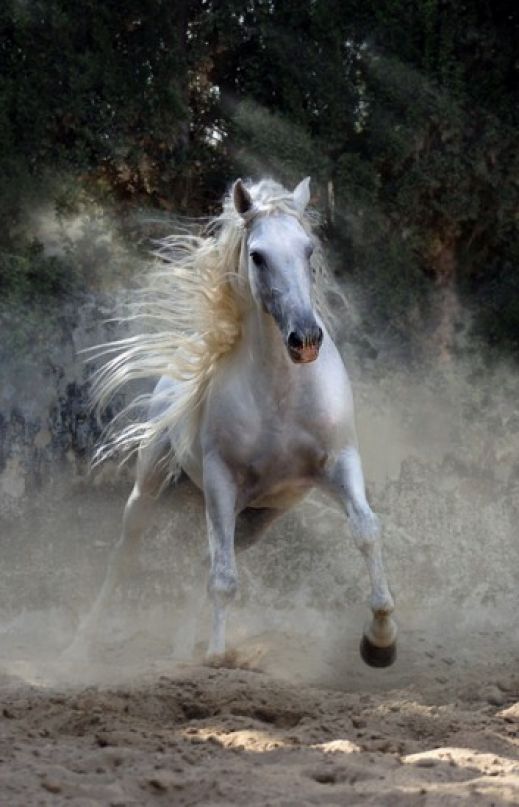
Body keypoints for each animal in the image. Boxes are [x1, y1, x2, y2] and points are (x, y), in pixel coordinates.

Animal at [69, 177, 397, 667]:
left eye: (309, 250)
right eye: (257, 255)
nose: (305, 339)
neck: (282, 394)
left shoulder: (339, 462)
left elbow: (366, 531)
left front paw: (380, 641)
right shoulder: (222, 478)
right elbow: (224, 581)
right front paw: (219, 657)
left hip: (256, 518)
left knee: (208, 560)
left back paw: (181, 650)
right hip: (153, 487)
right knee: (128, 554)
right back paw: (82, 645)